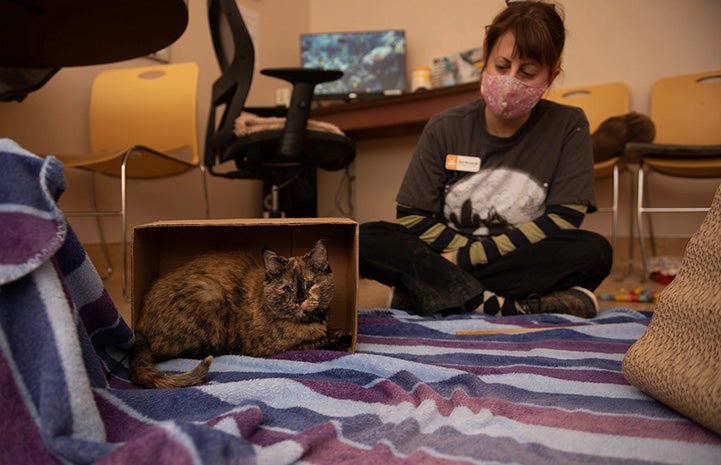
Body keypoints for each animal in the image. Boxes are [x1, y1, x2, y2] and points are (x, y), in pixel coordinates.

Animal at [132, 239, 354, 388]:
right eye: (287, 288)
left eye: (310, 284)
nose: (300, 299)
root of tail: (139, 326)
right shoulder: (274, 348)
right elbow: (314, 343)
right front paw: (341, 338)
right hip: (211, 293)